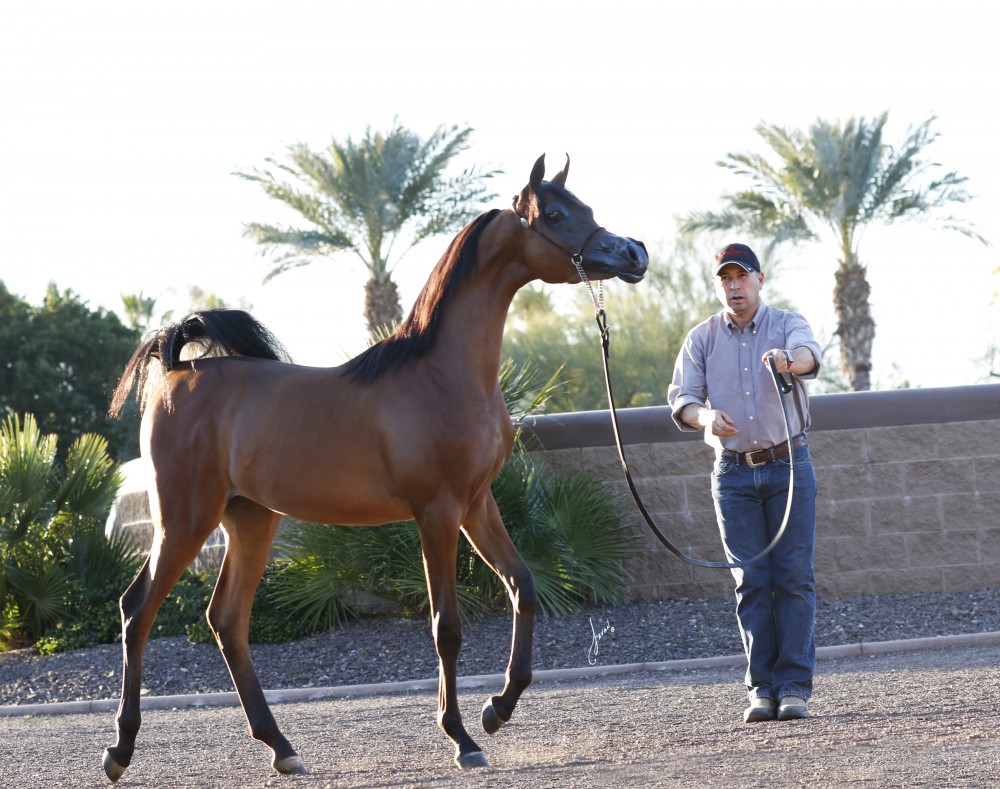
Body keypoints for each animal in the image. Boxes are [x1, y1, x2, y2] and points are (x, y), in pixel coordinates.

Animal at [103, 154, 648, 780]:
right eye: (556, 215)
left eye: (585, 207)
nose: (633, 252)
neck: (441, 375)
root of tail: (176, 371)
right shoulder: (436, 513)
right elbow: (446, 627)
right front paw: (462, 737)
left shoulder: (477, 504)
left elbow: (523, 587)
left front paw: (496, 711)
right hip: (184, 520)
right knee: (138, 610)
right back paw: (119, 752)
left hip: (250, 519)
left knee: (227, 621)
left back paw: (282, 749)